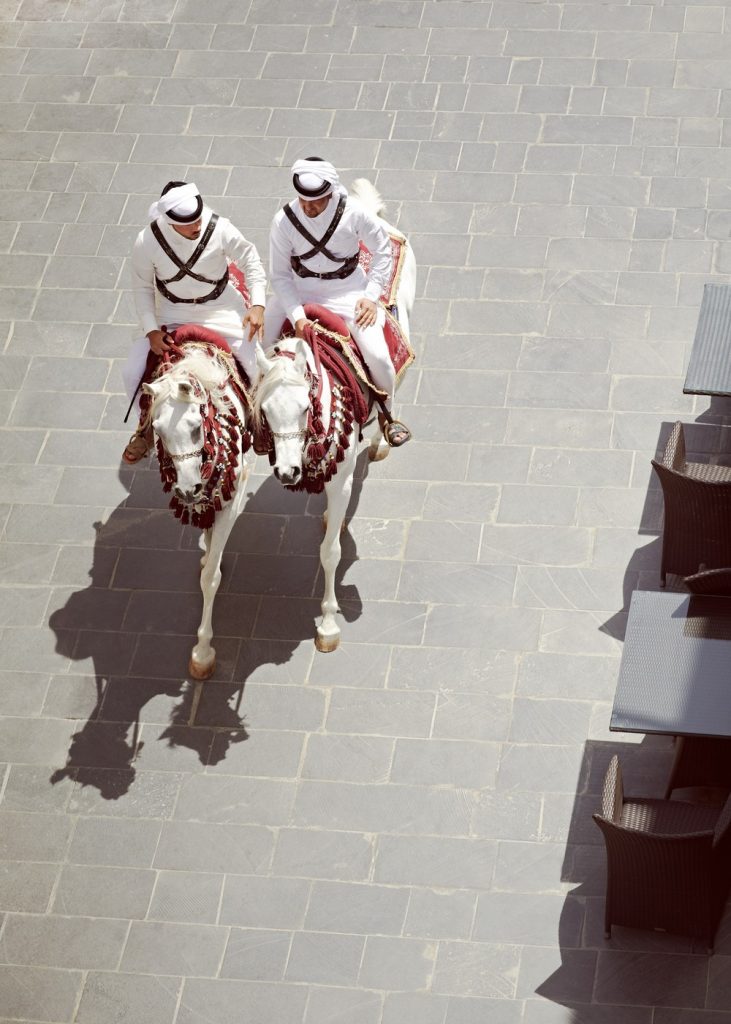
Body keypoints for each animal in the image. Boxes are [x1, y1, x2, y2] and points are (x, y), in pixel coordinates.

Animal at [141, 335, 251, 679]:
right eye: (157, 430)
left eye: (194, 426)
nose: (187, 489)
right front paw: (206, 546)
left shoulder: (234, 494)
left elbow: (210, 578)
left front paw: (203, 652)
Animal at [251, 179, 413, 651]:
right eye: (264, 410)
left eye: (306, 406)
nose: (287, 471)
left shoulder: (340, 478)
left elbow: (330, 552)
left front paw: (326, 622)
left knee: (387, 391)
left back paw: (383, 435)